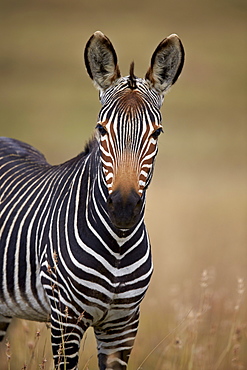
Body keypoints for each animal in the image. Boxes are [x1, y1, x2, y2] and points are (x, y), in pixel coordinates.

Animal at [0, 32, 183, 370]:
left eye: (157, 133)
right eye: (101, 129)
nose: (123, 209)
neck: (118, 245)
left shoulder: (123, 325)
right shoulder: (65, 320)